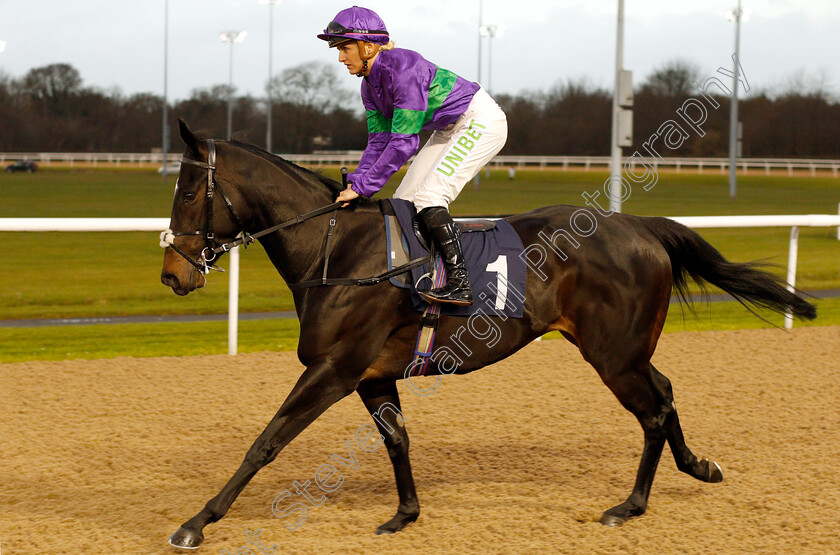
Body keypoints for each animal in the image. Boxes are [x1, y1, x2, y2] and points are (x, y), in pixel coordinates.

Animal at [161, 119, 816, 548]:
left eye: (189, 190)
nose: (172, 273)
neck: (338, 250)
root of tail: (641, 226)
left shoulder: (334, 368)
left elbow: (266, 441)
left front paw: (197, 522)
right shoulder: (372, 375)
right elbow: (396, 440)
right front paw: (404, 514)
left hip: (613, 355)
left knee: (653, 411)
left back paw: (628, 506)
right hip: (622, 349)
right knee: (668, 390)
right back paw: (699, 466)